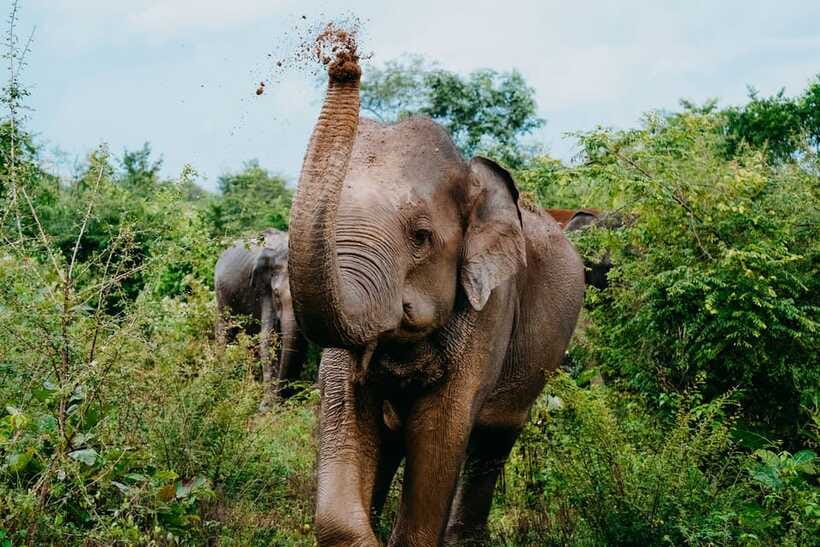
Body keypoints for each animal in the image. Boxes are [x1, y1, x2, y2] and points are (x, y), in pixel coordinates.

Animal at [214, 228, 307, 406]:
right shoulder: (264, 290)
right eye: (276, 294)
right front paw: (268, 406)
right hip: (221, 295)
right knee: (226, 332)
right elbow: (269, 338)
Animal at [286, 47, 585, 546]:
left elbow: (439, 429)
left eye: (421, 237)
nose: (345, 61)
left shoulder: (491, 305)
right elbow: (346, 409)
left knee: (492, 441)